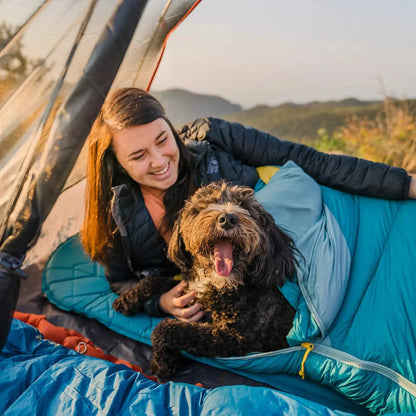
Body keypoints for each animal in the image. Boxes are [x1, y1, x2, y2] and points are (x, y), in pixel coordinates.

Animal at [112, 181, 298, 376]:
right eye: (205, 205)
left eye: (245, 206)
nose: (227, 218)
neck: (217, 284)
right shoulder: (189, 284)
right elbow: (155, 279)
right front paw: (126, 300)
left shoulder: (236, 338)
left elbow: (167, 329)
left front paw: (161, 364)